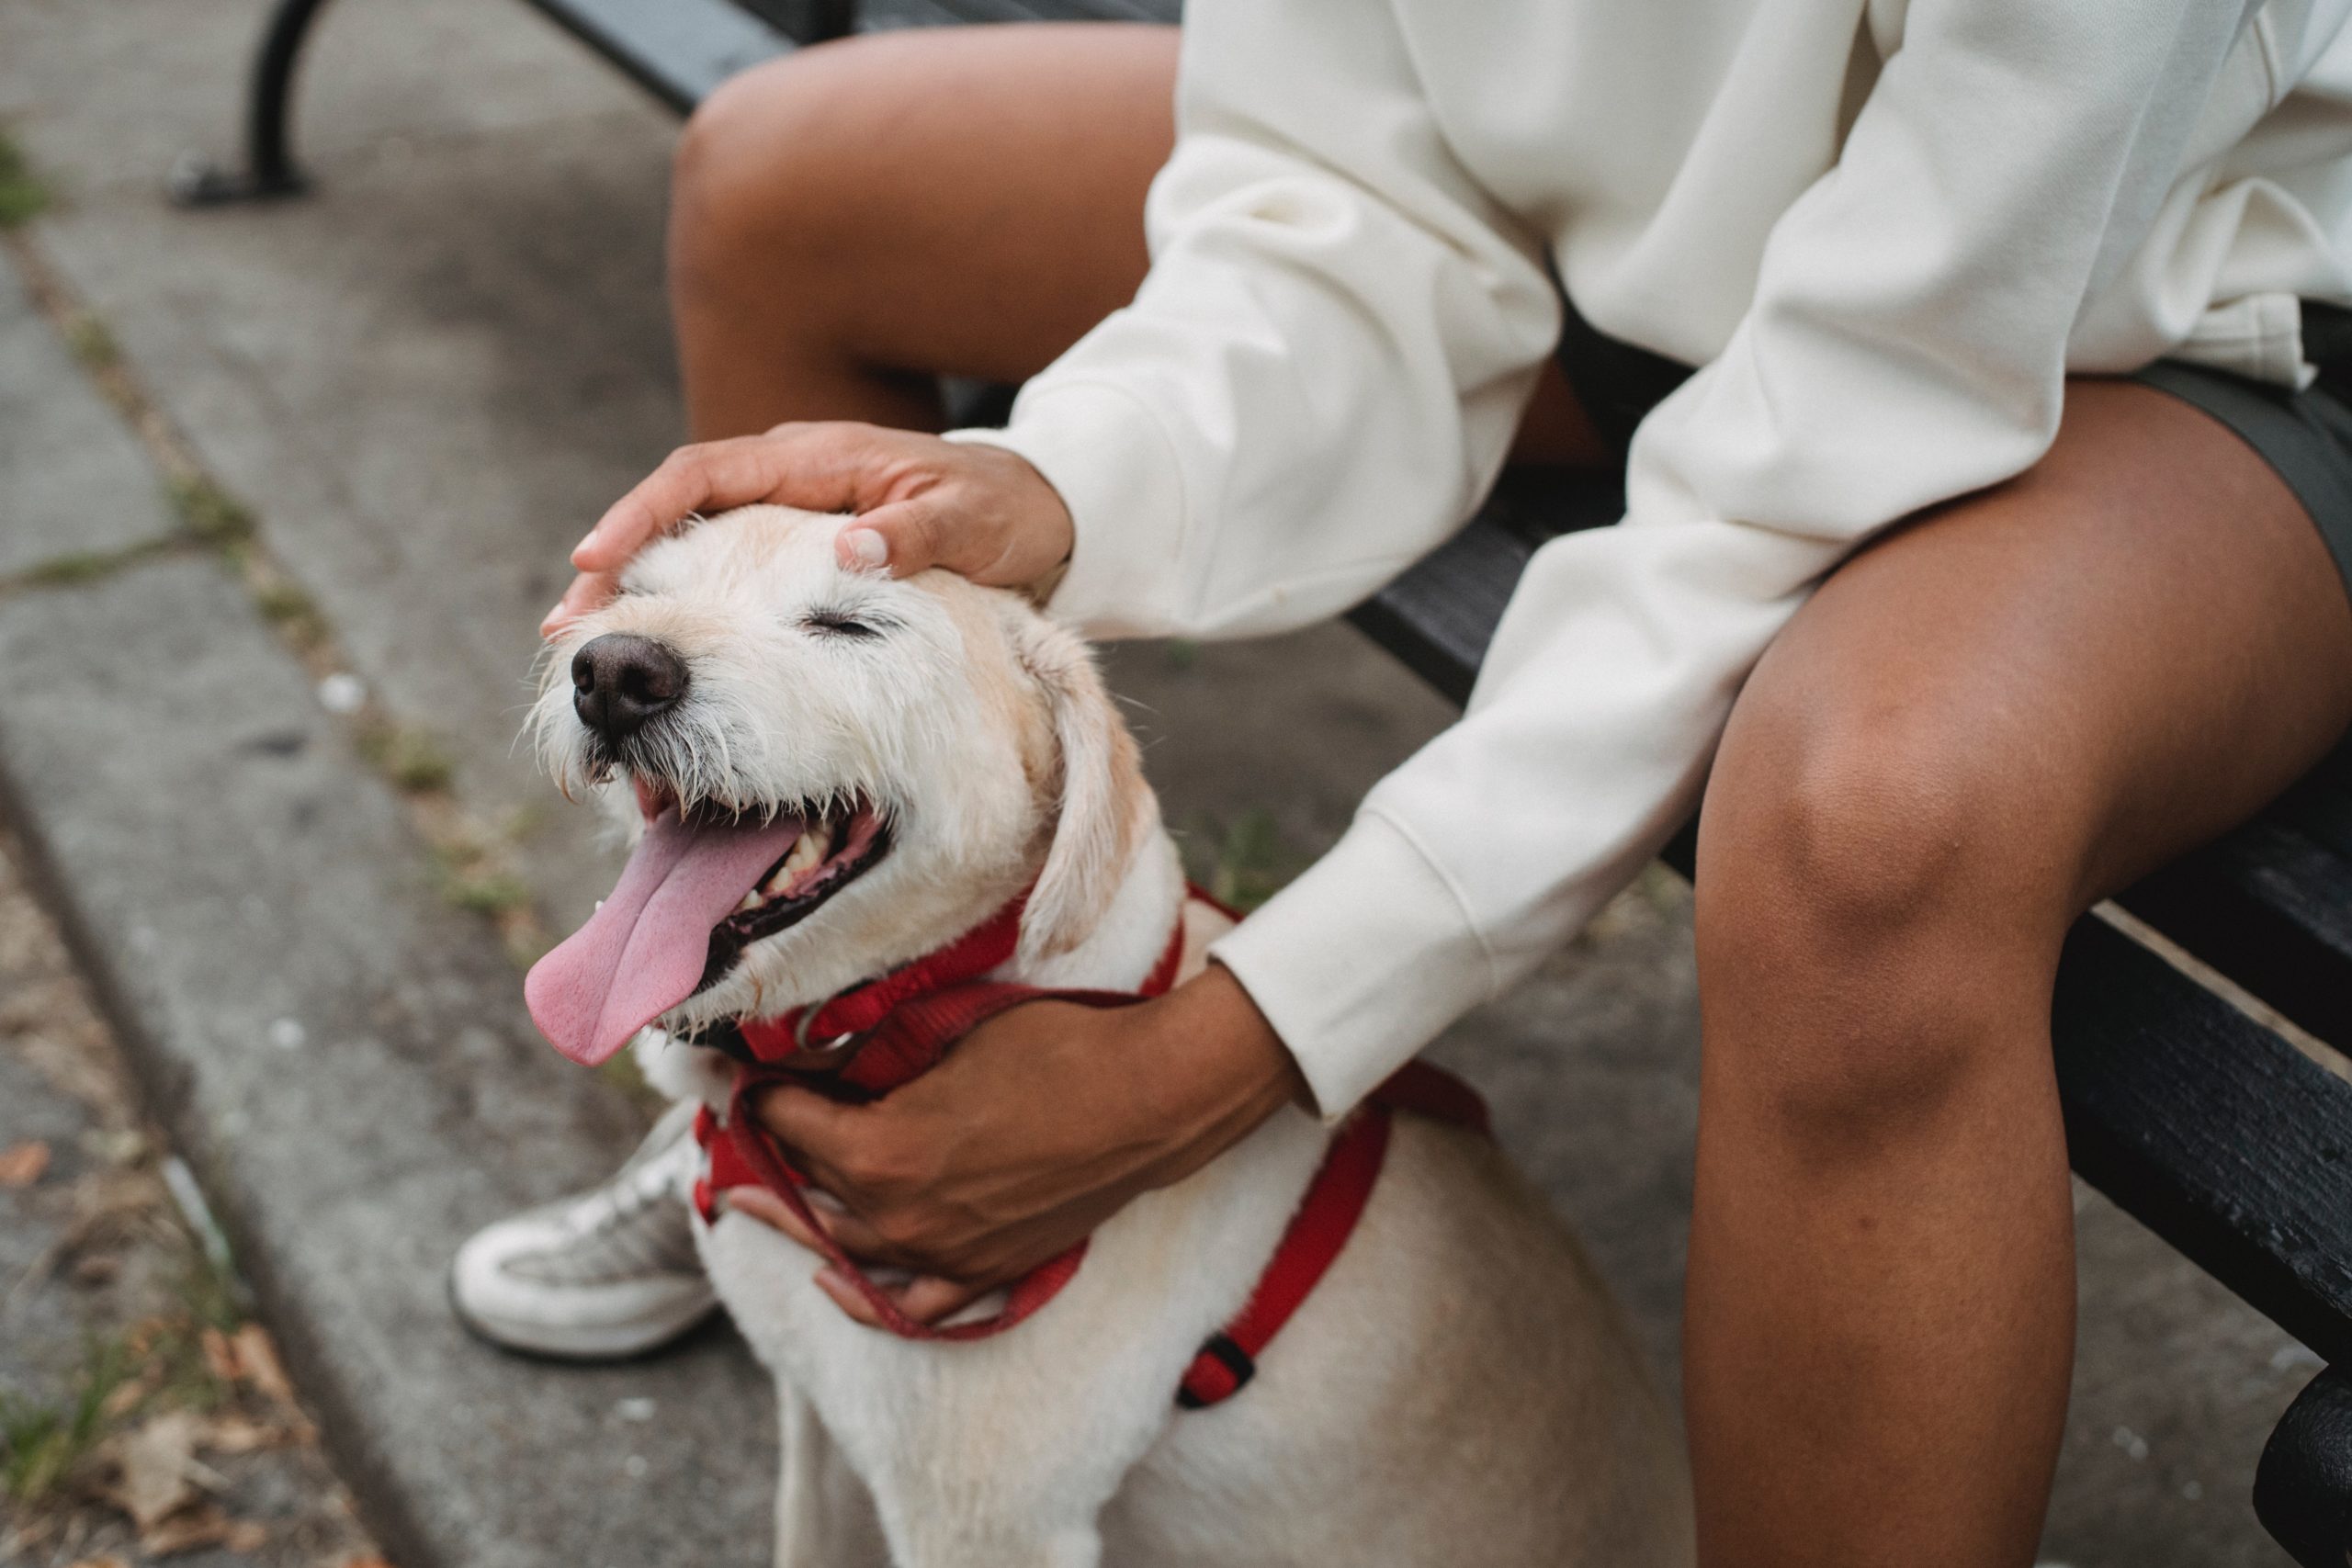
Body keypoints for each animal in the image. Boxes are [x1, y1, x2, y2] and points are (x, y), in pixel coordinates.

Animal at [524, 510, 1693, 1568]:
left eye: (853, 625)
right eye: (640, 592)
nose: (614, 671)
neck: (923, 1009)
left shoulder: (987, 1526)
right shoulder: (819, 1431)